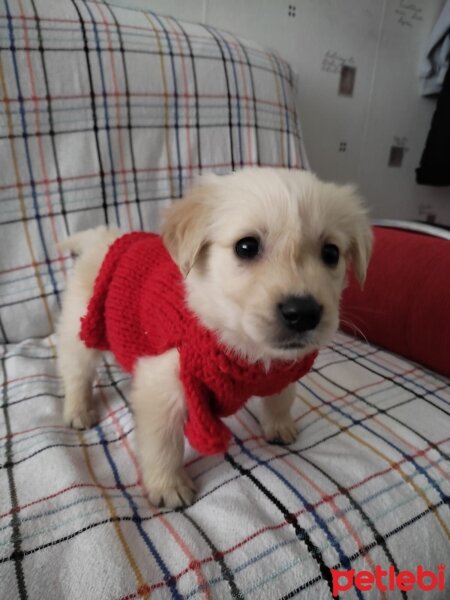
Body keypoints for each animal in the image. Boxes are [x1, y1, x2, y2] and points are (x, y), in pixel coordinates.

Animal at [57, 168, 372, 506]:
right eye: (246, 247)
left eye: (331, 253)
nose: (303, 312)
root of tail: (105, 237)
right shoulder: (163, 383)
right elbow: (162, 444)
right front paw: (168, 486)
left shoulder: (282, 372)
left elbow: (281, 399)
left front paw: (280, 426)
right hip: (80, 330)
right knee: (76, 372)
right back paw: (78, 410)